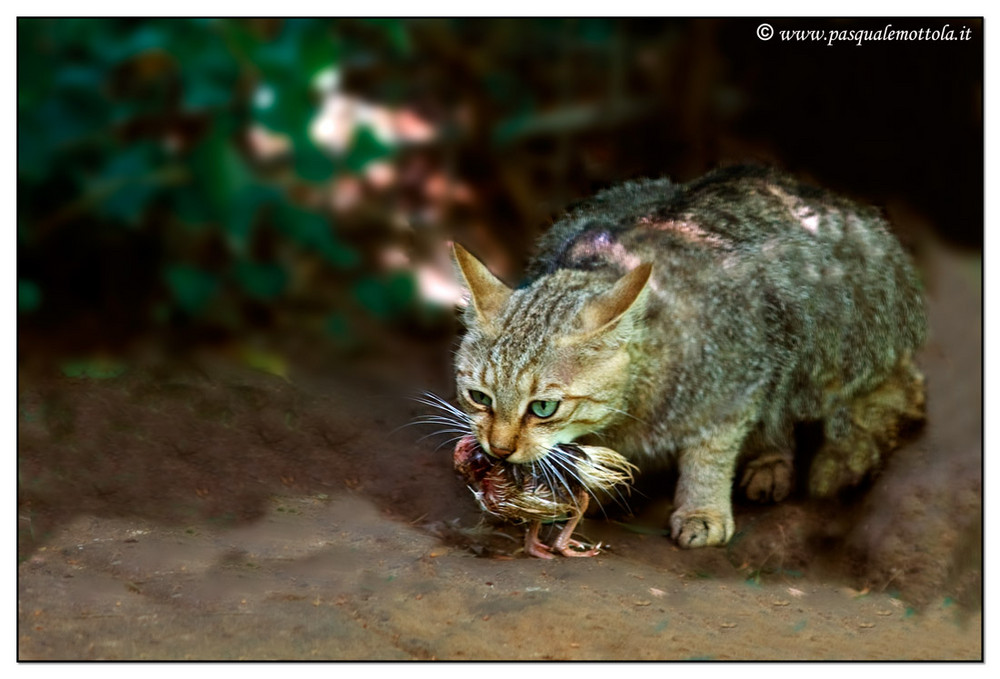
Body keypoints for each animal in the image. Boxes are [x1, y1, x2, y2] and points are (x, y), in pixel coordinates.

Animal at [450, 166, 924, 552]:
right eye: (479, 397)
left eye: (543, 407)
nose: (498, 448)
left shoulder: (736, 385)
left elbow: (710, 454)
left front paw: (702, 510)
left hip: (829, 341)